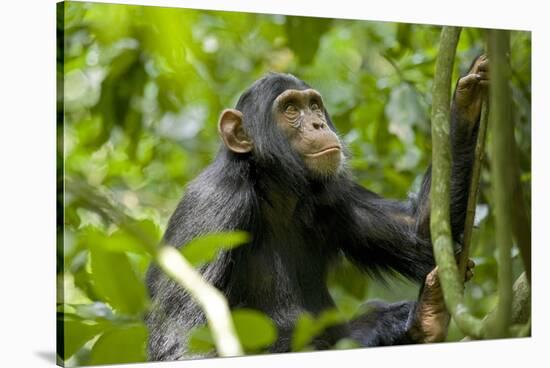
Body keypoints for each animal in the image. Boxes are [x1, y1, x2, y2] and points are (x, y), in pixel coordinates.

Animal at [144, 54, 490, 360]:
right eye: (290, 109)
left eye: (312, 105)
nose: (317, 123)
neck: (274, 188)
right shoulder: (213, 207)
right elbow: (184, 344)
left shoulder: (333, 195)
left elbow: (418, 231)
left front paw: (468, 94)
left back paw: (424, 318)